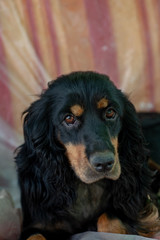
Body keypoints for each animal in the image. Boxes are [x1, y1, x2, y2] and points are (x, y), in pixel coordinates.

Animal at [15, 71, 160, 240]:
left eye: (110, 112)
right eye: (69, 118)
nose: (104, 164)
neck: (85, 187)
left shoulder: (135, 204)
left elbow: (109, 219)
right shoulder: (36, 223)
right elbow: (34, 235)